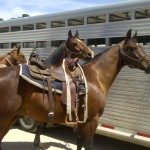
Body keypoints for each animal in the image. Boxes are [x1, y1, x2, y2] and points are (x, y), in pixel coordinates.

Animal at [0, 29, 149, 150]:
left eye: (140, 45)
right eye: (132, 47)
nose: (148, 63)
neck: (95, 77)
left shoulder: (81, 122)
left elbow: (79, 144)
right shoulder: (92, 121)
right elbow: (88, 146)